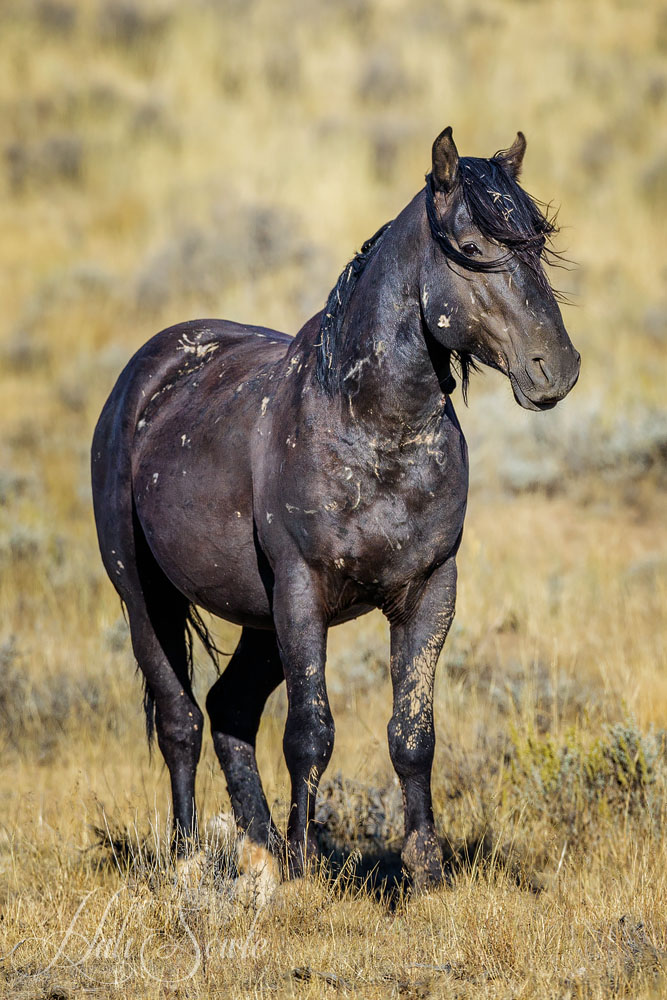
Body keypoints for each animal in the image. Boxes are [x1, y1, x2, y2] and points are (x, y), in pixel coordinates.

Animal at [91, 126, 580, 889]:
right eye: (472, 246)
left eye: (537, 242)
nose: (555, 369)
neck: (371, 429)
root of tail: (145, 374)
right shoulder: (302, 590)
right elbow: (310, 733)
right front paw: (304, 865)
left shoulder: (430, 591)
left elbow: (412, 734)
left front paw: (425, 870)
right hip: (149, 599)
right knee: (180, 720)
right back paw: (191, 859)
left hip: (259, 621)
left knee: (228, 710)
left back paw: (259, 851)